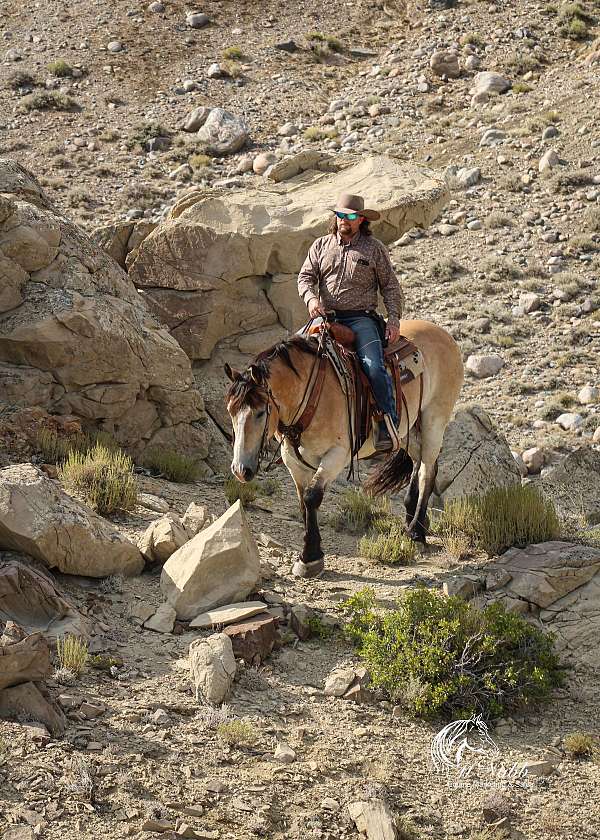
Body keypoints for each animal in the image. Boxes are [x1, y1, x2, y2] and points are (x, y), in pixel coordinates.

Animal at [225, 319, 464, 578]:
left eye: (260, 413)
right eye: (230, 411)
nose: (240, 470)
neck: (309, 394)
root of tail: (443, 334)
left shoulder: (337, 455)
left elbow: (311, 497)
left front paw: (309, 557)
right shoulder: (293, 461)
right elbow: (303, 503)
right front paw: (310, 555)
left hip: (434, 418)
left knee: (427, 470)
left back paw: (417, 532)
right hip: (408, 429)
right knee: (419, 461)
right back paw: (412, 520)